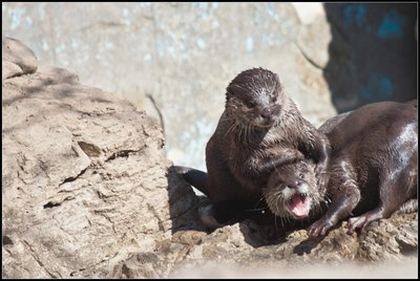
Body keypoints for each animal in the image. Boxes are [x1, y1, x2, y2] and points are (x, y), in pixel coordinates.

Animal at [176, 67, 330, 225]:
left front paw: (321, 172)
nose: (267, 112)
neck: (276, 138)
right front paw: (293, 153)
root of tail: (211, 184)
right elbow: (249, 170)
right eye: (250, 103)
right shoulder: (241, 150)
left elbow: (319, 139)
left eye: (273, 97)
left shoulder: (299, 127)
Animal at [262, 99, 416, 235]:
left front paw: (321, 223)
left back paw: (362, 219)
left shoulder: (337, 168)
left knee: (389, 197)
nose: (293, 183)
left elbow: (350, 193)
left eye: (302, 174)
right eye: (279, 182)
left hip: (398, 152)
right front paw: (270, 229)